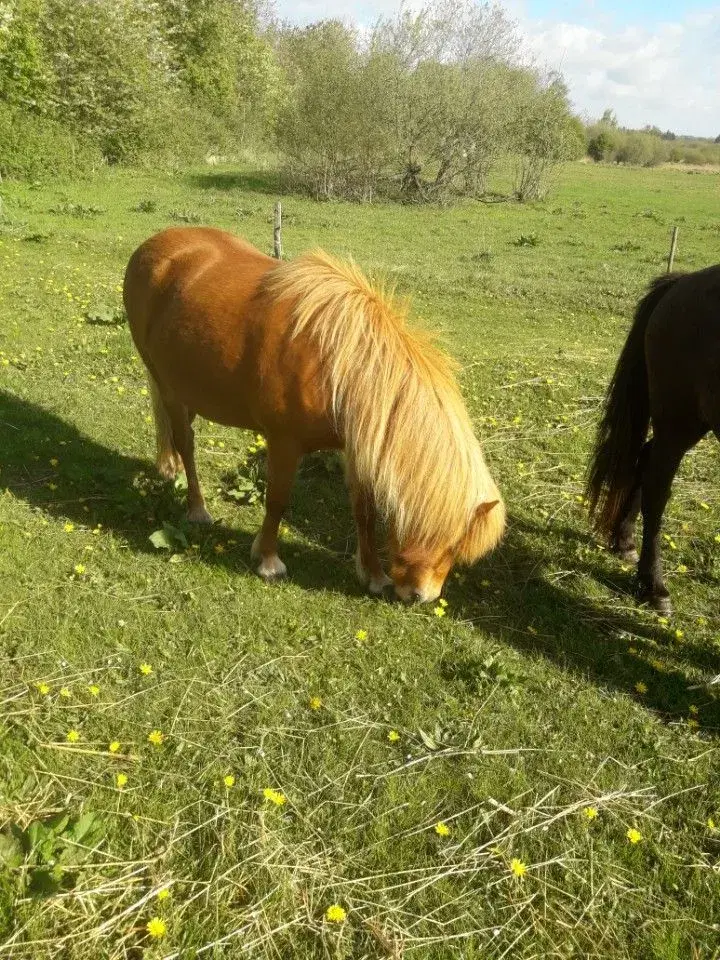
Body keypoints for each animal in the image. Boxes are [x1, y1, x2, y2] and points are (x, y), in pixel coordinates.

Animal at [124, 227, 504, 600]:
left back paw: (170, 467)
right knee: (185, 442)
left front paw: (374, 575)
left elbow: (365, 512)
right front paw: (268, 560)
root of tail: (154, 244)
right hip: (167, 385)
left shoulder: (358, 448)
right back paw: (197, 508)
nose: (421, 596)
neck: (339, 365)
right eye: (449, 542)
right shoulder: (284, 443)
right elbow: (277, 499)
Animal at [584, 262, 720, 616]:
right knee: (657, 486)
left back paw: (625, 542)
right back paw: (653, 586)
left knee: (645, 461)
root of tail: (681, 282)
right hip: (679, 422)